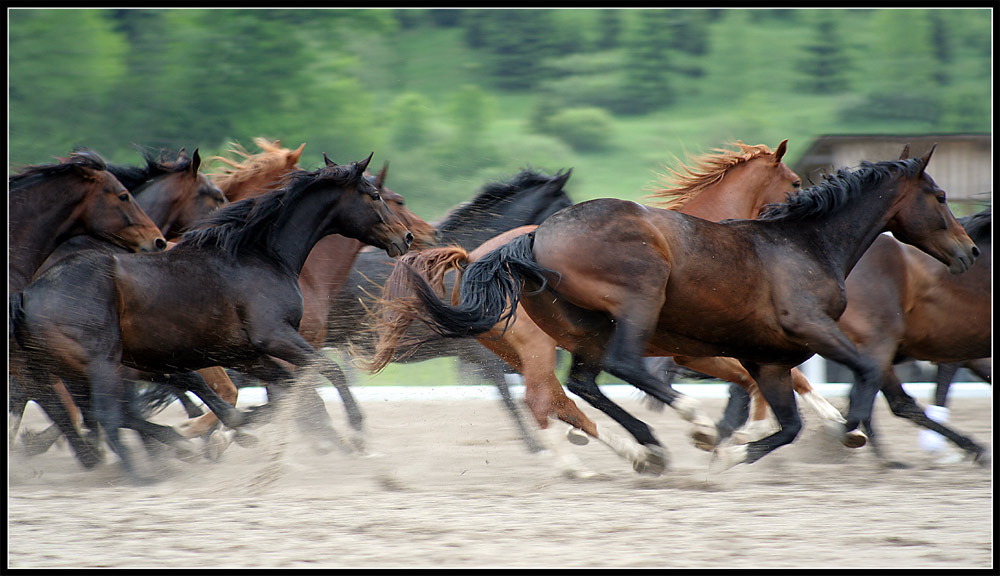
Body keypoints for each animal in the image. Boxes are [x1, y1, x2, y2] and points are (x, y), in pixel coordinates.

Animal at [368, 146, 976, 474]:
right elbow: (841, 377)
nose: (969, 251)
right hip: (630, 307)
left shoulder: (759, 352)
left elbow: (785, 396)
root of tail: (525, 243)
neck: (804, 244)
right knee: (579, 387)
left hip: (578, 335)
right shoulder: (770, 339)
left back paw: (641, 450)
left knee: (577, 391)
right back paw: (658, 437)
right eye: (941, 197)